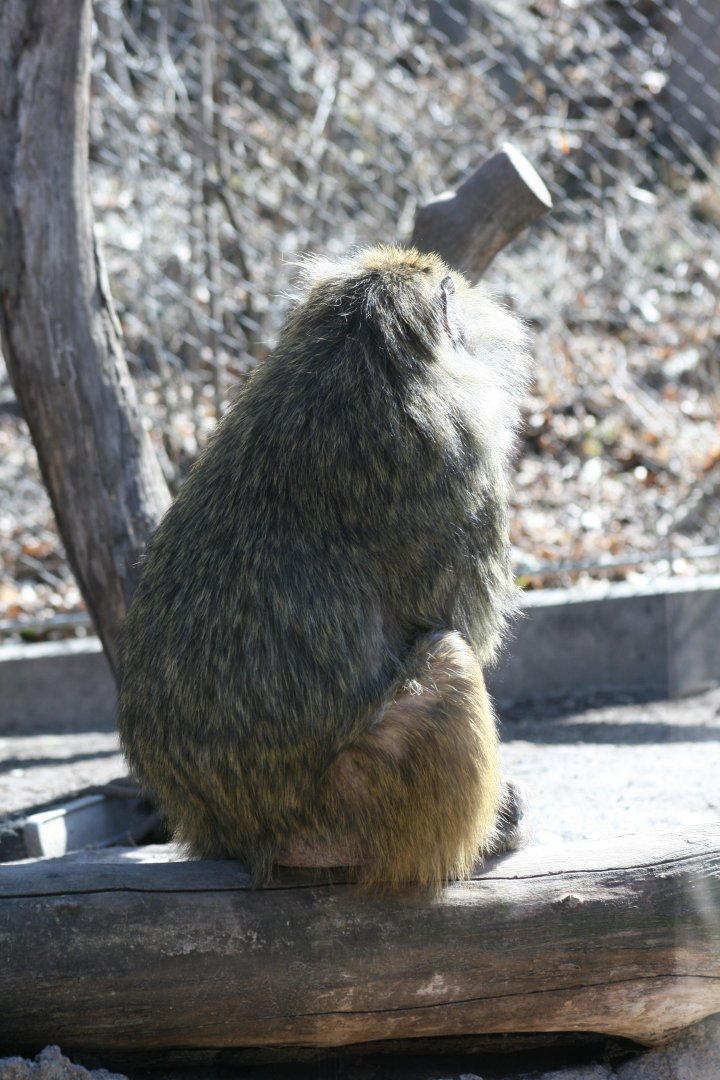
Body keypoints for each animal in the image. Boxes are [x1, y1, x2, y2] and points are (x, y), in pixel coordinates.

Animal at [119, 244, 530, 893]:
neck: (354, 354)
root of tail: (247, 837)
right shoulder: (460, 456)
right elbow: (470, 627)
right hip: (357, 799)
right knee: (449, 657)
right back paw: (484, 837)